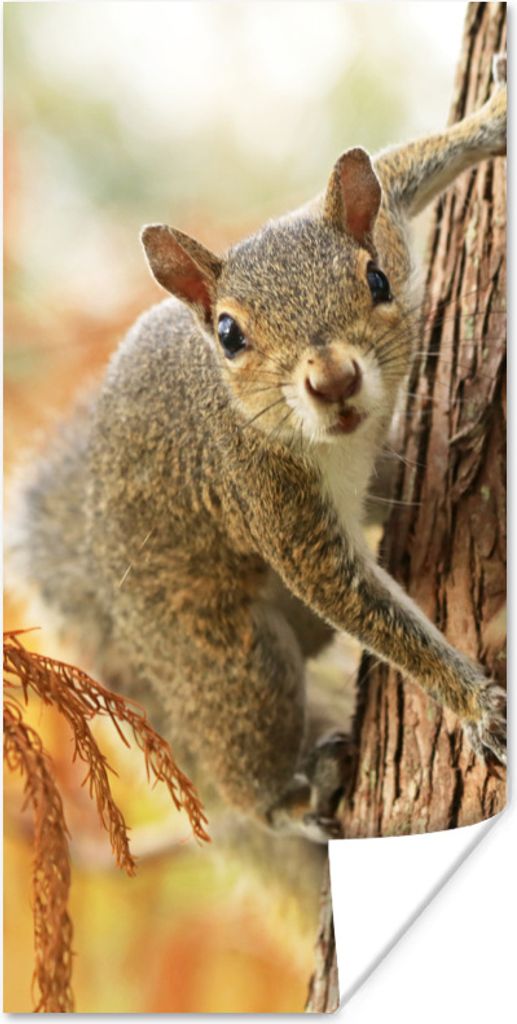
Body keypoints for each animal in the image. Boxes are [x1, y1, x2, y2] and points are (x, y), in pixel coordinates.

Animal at [8, 75, 506, 844]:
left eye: (377, 280)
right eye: (228, 333)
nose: (333, 380)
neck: (333, 442)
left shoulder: (387, 221)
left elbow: (399, 168)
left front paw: (491, 120)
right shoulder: (265, 494)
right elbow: (360, 605)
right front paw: (474, 702)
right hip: (234, 665)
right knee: (250, 771)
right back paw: (295, 798)